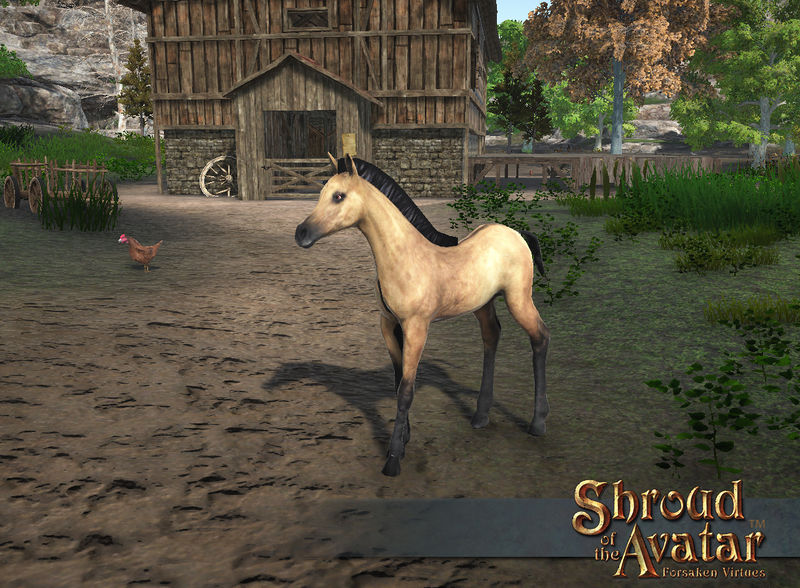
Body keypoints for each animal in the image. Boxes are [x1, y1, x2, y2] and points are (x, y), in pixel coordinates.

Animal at [294, 154, 550, 477]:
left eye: (338, 196)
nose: (300, 234)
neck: (404, 258)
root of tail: (517, 233)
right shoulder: (388, 325)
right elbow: (397, 382)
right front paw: (403, 441)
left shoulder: (417, 328)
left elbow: (406, 389)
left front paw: (393, 459)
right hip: (482, 305)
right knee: (492, 337)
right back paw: (480, 416)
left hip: (519, 299)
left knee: (540, 336)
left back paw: (538, 423)